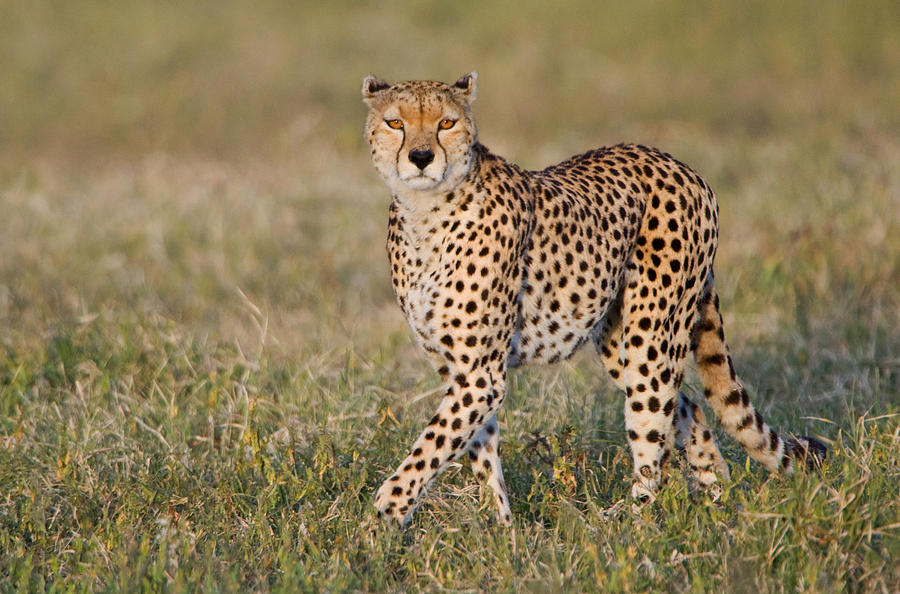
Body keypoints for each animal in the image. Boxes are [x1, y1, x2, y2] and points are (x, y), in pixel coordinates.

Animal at [362, 73, 828, 524]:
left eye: (446, 123)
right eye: (395, 123)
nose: (421, 157)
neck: (425, 212)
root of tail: (676, 162)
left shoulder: (480, 374)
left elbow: (431, 446)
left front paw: (384, 513)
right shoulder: (457, 370)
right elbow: (477, 447)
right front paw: (499, 528)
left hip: (650, 337)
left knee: (653, 434)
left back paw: (630, 522)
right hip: (619, 339)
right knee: (689, 408)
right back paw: (716, 499)